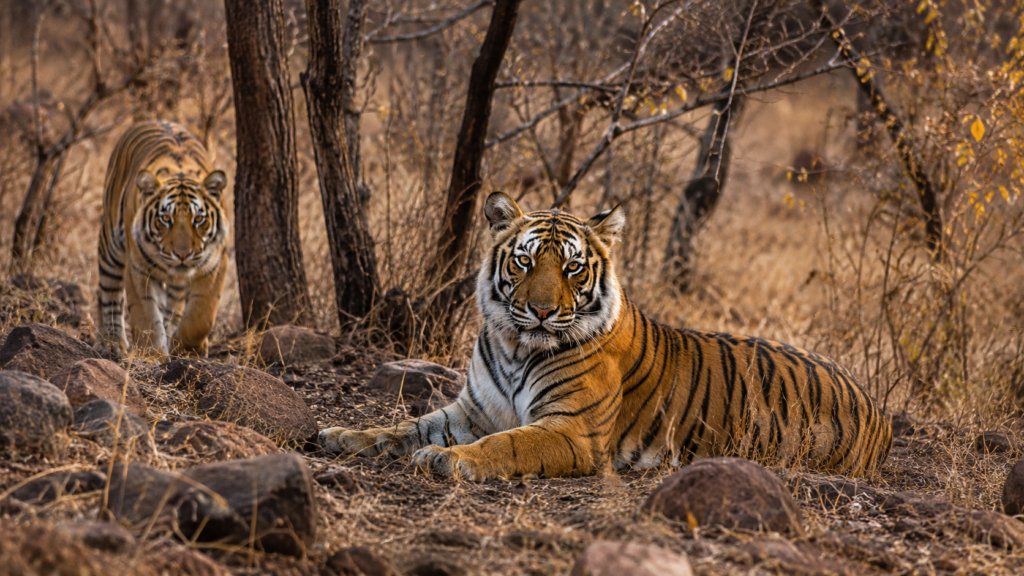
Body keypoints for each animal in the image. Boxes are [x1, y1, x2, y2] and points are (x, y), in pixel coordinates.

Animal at [95, 120, 229, 360]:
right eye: (165, 219)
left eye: (199, 219)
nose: (183, 255)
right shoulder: (139, 267)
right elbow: (146, 315)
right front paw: (153, 354)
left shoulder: (216, 264)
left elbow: (200, 317)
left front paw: (186, 349)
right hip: (111, 245)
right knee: (108, 293)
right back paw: (111, 343)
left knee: (173, 307)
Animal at [319, 192, 892, 481]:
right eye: (525, 261)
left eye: (572, 268)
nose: (542, 311)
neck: (515, 346)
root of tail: (875, 404)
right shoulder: (472, 411)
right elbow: (405, 426)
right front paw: (342, 436)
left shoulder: (570, 430)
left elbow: (506, 445)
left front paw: (451, 460)